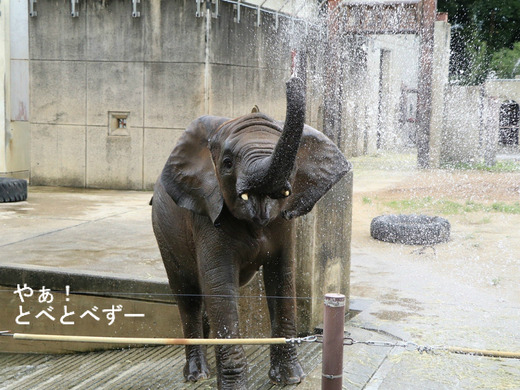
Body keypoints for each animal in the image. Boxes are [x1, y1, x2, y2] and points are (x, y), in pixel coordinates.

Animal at [152, 77, 352, 390]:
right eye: (227, 163)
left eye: (293, 165)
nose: (292, 80)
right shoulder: (207, 215)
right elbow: (220, 287)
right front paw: (235, 386)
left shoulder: (283, 222)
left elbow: (282, 279)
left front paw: (290, 379)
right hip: (163, 231)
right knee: (187, 294)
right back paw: (197, 374)